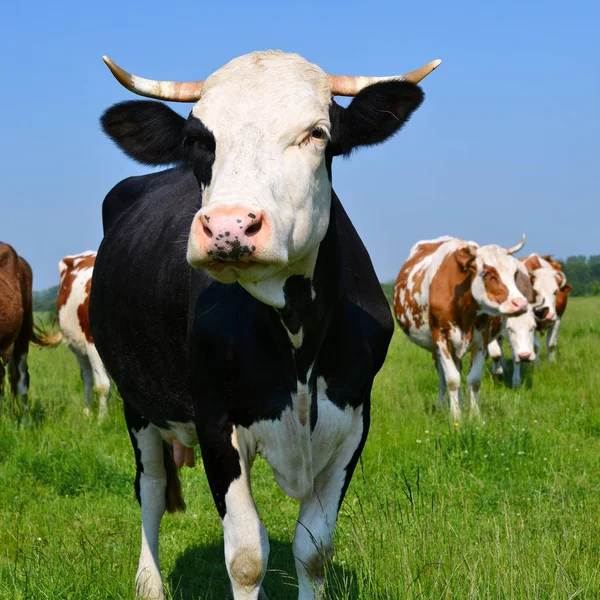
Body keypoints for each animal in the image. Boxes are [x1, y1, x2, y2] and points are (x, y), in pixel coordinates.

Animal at [91, 49, 438, 596]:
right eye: (197, 139)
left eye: (317, 132)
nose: (228, 226)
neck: (297, 335)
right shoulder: (216, 421)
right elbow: (247, 557)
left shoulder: (354, 420)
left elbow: (313, 550)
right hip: (136, 400)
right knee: (150, 486)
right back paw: (149, 583)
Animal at [396, 234, 532, 418]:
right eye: (487, 273)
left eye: (515, 273)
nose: (521, 304)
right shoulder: (440, 337)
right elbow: (452, 379)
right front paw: (456, 417)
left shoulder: (482, 339)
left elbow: (473, 379)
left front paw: (475, 416)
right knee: (443, 375)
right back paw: (442, 405)